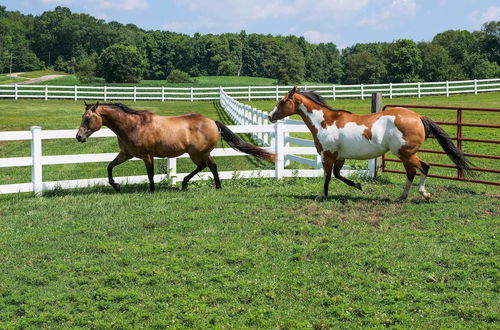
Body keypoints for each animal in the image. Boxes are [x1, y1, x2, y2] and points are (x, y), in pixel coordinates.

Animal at [76, 102, 276, 192]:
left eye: (88, 118)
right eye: (83, 117)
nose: (79, 137)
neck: (134, 126)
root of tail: (212, 122)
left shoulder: (147, 155)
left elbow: (150, 173)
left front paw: (151, 190)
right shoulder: (126, 154)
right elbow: (109, 167)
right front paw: (116, 186)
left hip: (197, 153)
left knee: (206, 166)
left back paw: (188, 183)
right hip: (201, 153)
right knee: (211, 166)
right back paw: (212, 186)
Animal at [268, 87, 470, 201]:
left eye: (282, 101)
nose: (270, 116)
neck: (324, 121)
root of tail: (418, 116)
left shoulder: (328, 155)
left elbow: (327, 176)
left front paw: (322, 196)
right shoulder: (339, 157)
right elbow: (338, 174)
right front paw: (358, 185)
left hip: (405, 153)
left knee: (424, 167)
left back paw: (424, 195)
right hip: (405, 155)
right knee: (411, 172)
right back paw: (401, 197)